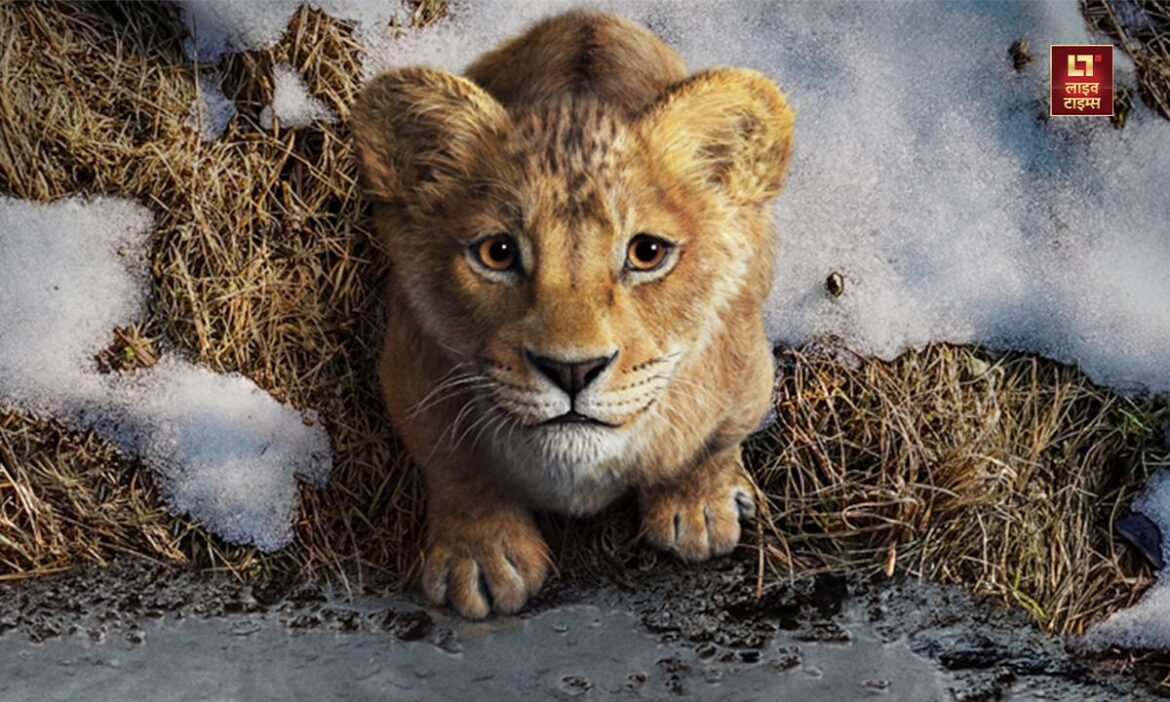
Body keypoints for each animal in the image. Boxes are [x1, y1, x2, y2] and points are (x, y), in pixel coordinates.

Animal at [351, 10, 794, 618]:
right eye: (497, 253)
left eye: (647, 252)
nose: (572, 370)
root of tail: (589, 15)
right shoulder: (410, 370)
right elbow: (455, 467)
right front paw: (480, 558)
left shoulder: (747, 370)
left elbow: (712, 443)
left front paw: (699, 510)